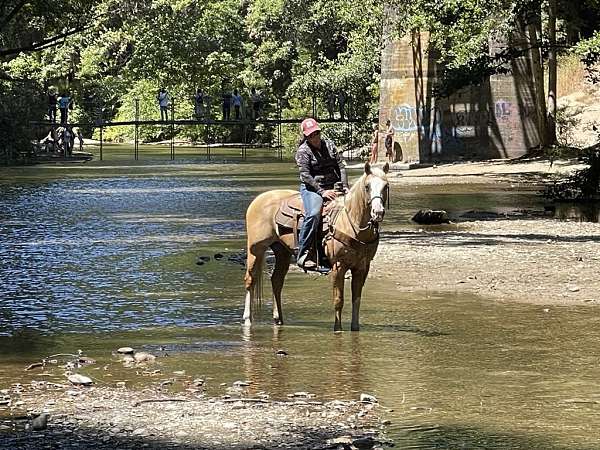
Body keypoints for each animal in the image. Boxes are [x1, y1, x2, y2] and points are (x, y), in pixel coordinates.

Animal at [243, 162, 390, 330]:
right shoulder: (338, 266)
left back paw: (278, 319)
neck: (351, 223)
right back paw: (247, 319)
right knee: (250, 279)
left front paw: (355, 328)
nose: (378, 212)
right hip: (256, 249)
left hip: (282, 251)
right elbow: (338, 300)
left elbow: (357, 299)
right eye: (367, 186)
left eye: (386, 186)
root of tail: (259, 199)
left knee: (276, 281)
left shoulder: (362, 267)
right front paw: (337, 329)